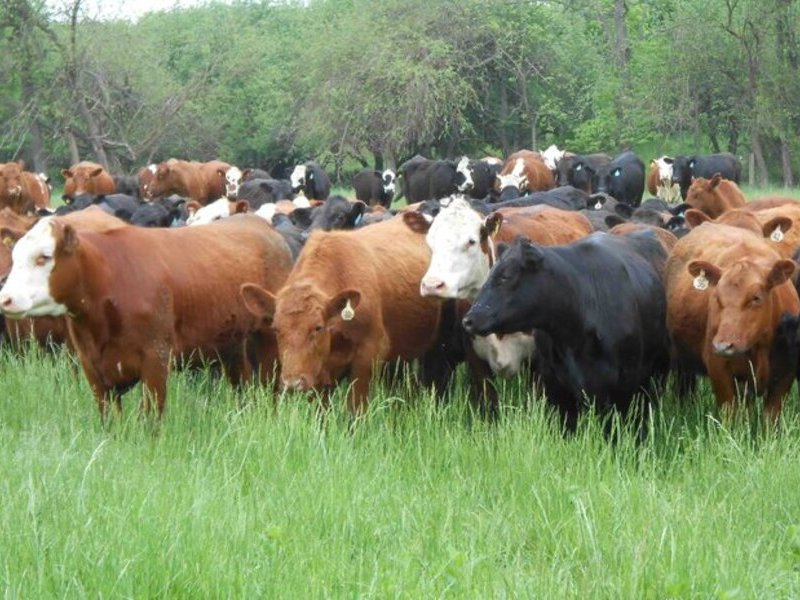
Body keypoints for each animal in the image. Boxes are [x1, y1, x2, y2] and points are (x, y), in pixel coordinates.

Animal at [0, 215, 293, 420]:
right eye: (14, 257)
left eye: (44, 257)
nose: (6, 298)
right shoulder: (92, 368)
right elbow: (110, 420)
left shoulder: (156, 360)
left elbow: (150, 419)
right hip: (233, 350)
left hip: (270, 347)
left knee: (271, 391)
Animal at [238, 215, 454, 414]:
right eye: (276, 329)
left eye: (318, 327)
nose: (293, 383)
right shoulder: (319, 374)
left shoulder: (367, 358)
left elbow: (355, 411)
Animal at [665, 222, 800, 421]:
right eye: (716, 296)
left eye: (756, 298)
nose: (723, 346)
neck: (760, 347)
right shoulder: (718, 369)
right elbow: (731, 417)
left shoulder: (785, 374)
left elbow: (770, 418)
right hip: (681, 359)